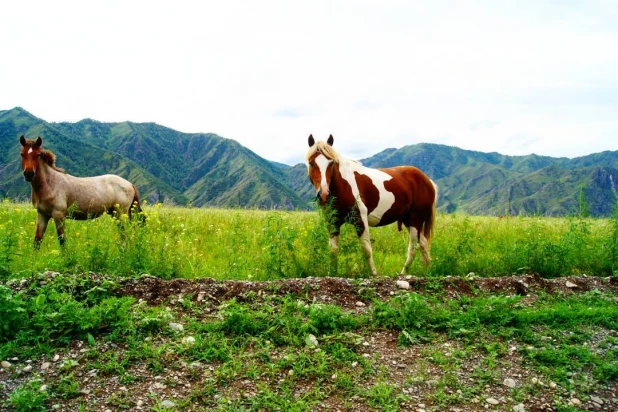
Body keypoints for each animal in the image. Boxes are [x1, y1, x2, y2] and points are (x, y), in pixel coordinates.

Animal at [306, 135, 436, 276]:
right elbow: (333, 250)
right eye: (311, 163)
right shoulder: (332, 221)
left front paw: (374, 274)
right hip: (409, 220)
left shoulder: (360, 219)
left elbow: (367, 249)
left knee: (413, 248)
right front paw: (333, 274)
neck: (343, 185)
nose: (324, 194)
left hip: (415, 220)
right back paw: (427, 271)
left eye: (331, 163)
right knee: (423, 244)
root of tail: (428, 181)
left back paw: (404, 273)